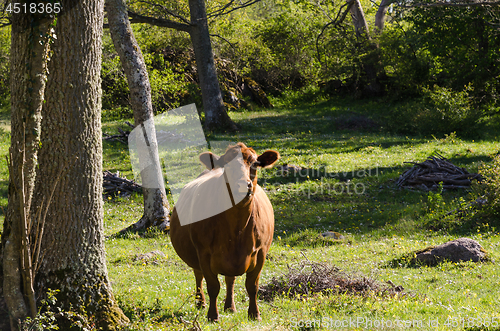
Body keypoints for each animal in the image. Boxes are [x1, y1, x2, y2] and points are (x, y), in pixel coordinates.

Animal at [168, 143, 278, 322]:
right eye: (226, 164)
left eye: (255, 163)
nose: (243, 185)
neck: (237, 228)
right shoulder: (203, 253)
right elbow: (213, 286)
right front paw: (213, 315)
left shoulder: (261, 252)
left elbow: (252, 285)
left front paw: (254, 314)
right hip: (195, 256)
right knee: (198, 275)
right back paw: (201, 303)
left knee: (229, 279)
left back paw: (230, 307)